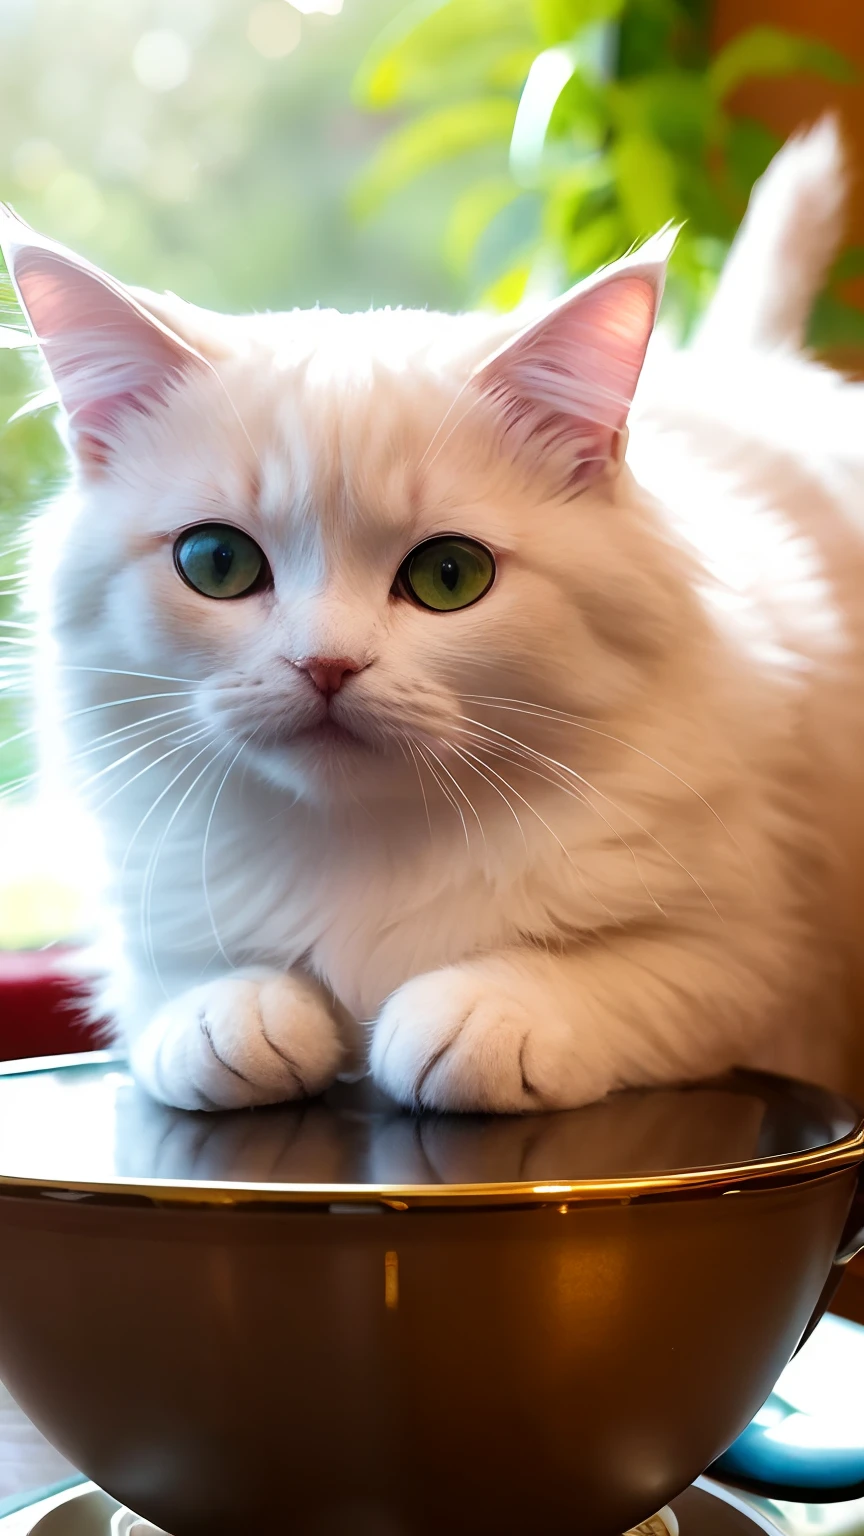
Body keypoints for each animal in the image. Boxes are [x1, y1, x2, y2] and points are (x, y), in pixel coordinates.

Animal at [3, 119, 854, 1112]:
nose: (326, 665)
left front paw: (474, 1015)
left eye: (451, 576)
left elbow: (594, 974)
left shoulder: (750, 958)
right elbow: (186, 1000)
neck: (362, 849)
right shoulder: (143, 935)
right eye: (217, 564)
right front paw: (238, 1022)